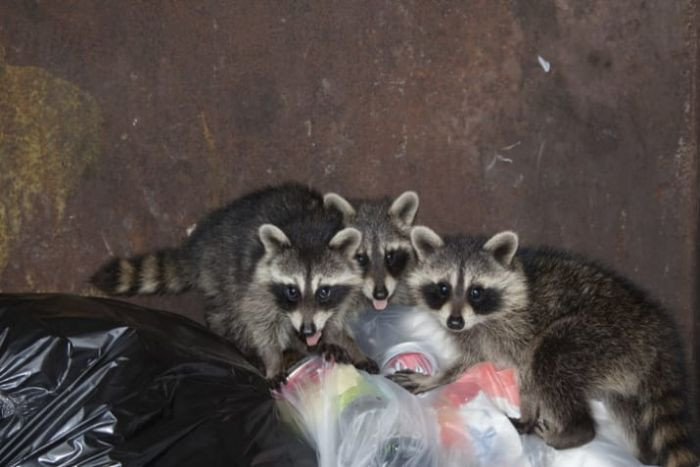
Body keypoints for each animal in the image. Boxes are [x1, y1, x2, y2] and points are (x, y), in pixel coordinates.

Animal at [91, 183, 378, 383]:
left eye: (323, 291)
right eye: (292, 291)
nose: (307, 331)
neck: (311, 233)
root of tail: (198, 244)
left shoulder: (347, 289)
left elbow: (336, 319)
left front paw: (342, 342)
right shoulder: (258, 280)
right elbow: (260, 321)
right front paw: (273, 358)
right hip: (224, 270)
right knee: (231, 313)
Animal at [390, 226, 699, 467]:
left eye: (475, 292)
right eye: (443, 288)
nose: (454, 322)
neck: (482, 319)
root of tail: (656, 331)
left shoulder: (522, 329)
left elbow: (529, 368)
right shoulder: (477, 335)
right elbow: (473, 360)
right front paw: (438, 378)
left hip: (598, 333)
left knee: (550, 357)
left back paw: (575, 430)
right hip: (622, 368)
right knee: (626, 412)